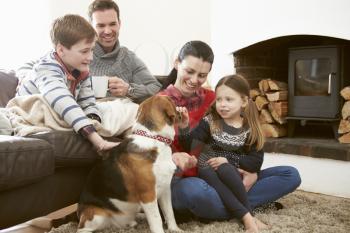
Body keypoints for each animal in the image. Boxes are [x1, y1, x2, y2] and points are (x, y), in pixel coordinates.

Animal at [76, 95, 180, 233]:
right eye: (171, 99)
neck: (153, 138)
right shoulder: (148, 195)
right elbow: (157, 219)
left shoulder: (165, 189)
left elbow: (170, 212)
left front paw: (175, 229)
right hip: (96, 216)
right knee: (81, 229)